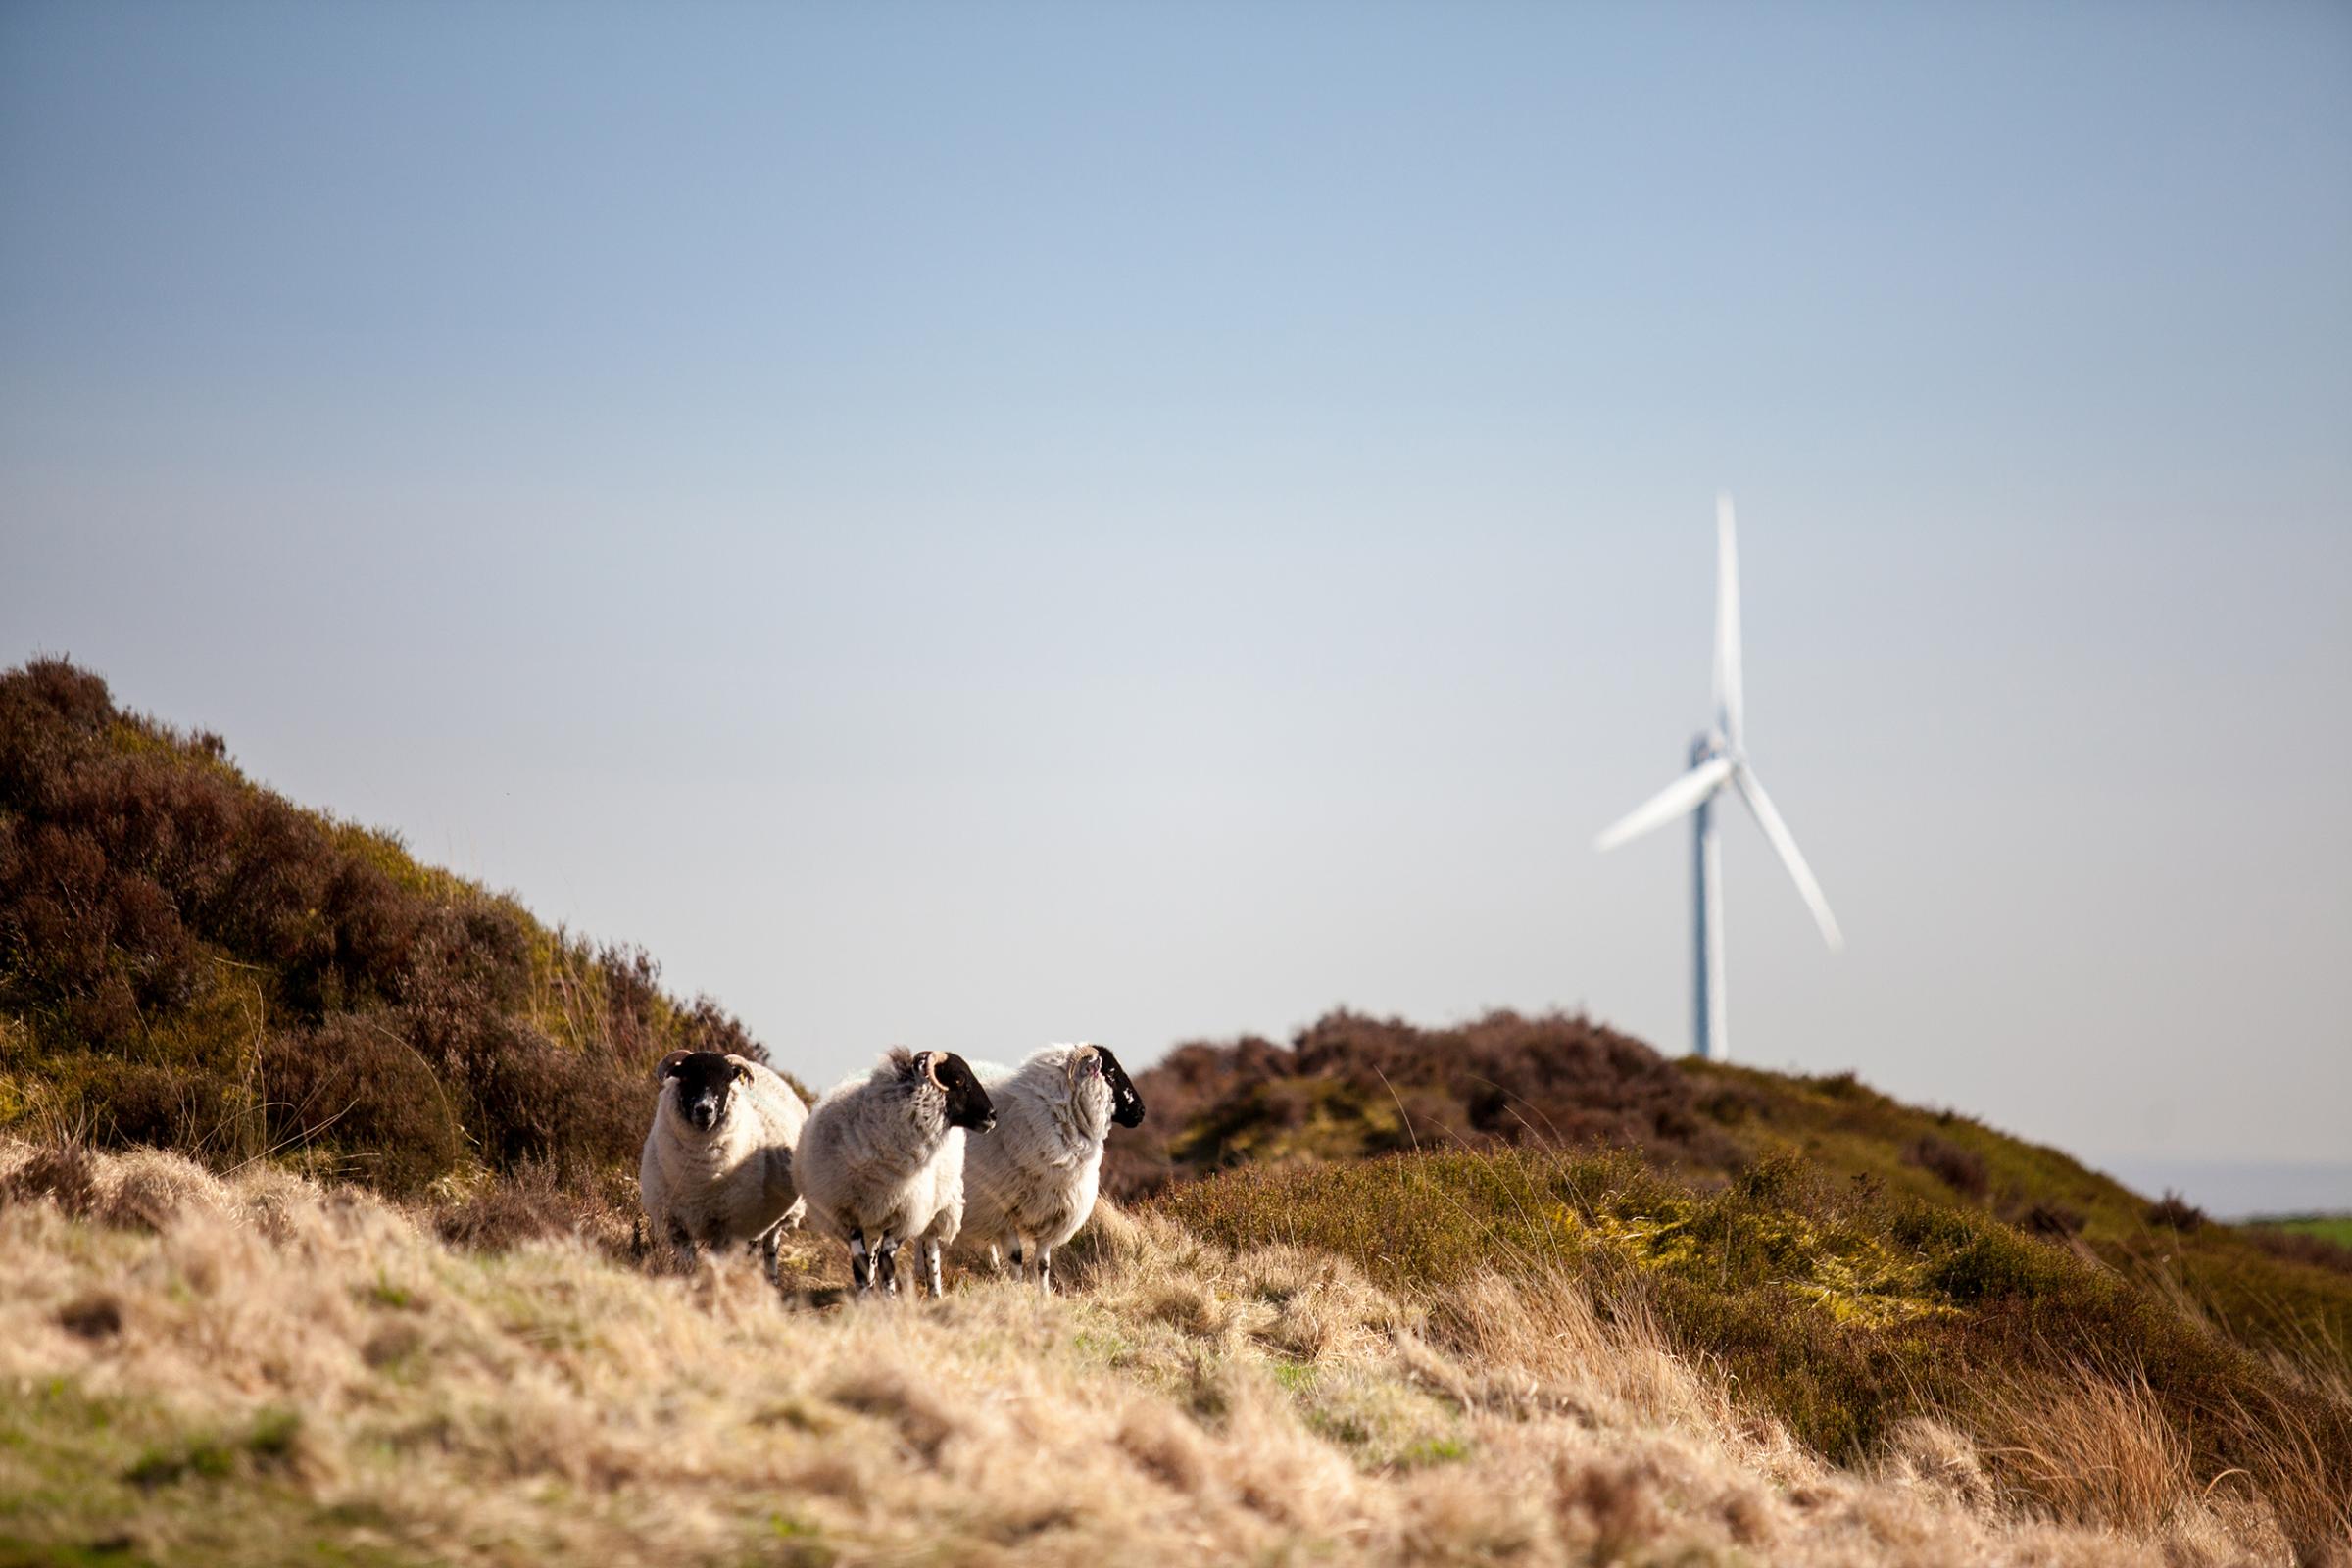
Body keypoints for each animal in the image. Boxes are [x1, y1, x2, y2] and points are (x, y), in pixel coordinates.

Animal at [639, 1053, 813, 1288]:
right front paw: (688, 1280)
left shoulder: (726, 1228)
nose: (704, 1110)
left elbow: (718, 1263)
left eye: (725, 1081)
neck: (697, 1180)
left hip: (774, 1218)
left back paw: (771, 1280)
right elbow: (687, 1261)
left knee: (769, 1245)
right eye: (686, 1077)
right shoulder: (675, 1224)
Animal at [790, 1048, 992, 1298]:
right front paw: (865, 1297)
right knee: (873, 1255)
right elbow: (861, 1262)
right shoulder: (848, 1214)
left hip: (935, 1207)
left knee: (930, 1248)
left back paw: (935, 1293)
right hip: (874, 1219)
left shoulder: (904, 1216)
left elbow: (887, 1262)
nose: (992, 1115)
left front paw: (890, 1298)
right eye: (959, 1079)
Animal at [955, 1048, 1138, 1298]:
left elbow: (1042, 1263)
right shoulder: (1003, 1211)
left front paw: (1044, 1296)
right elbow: (1016, 1257)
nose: (1140, 1111)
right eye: (1110, 1074)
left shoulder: (1052, 1214)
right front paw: (1018, 1292)